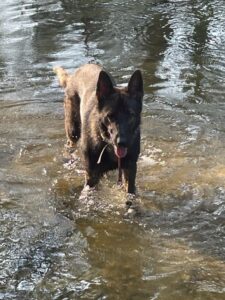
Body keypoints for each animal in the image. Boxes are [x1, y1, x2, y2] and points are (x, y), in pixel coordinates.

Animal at [53, 64, 143, 193]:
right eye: (110, 116)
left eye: (131, 115)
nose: (121, 142)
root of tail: (74, 75)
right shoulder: (91, 176)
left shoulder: (129, 172)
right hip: (72, 131)